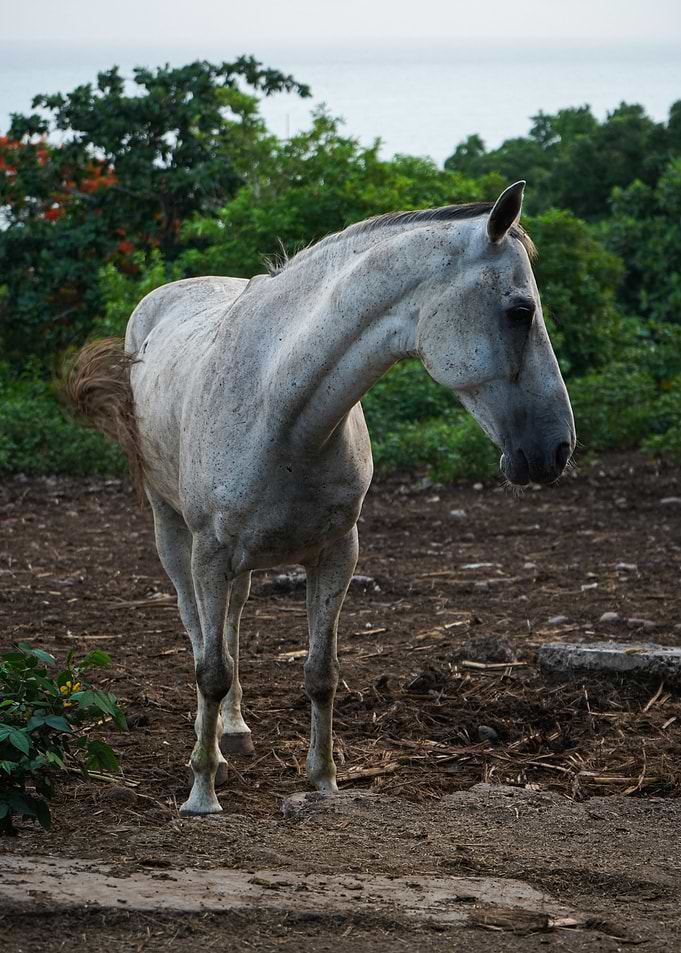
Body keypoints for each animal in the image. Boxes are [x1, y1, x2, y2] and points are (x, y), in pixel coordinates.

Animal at [64, 181, 575, 817]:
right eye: (520, 312)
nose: (557, 449)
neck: (282, 409)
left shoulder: (337, 554)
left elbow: (320, 672)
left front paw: (325, 782)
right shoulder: (211, 551)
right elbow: (210, 669)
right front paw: (202, 792)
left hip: (238, 565)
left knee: (231, 622)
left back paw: (234, 730)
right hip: (174, 533)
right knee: (198, 628)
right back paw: (213, 750)